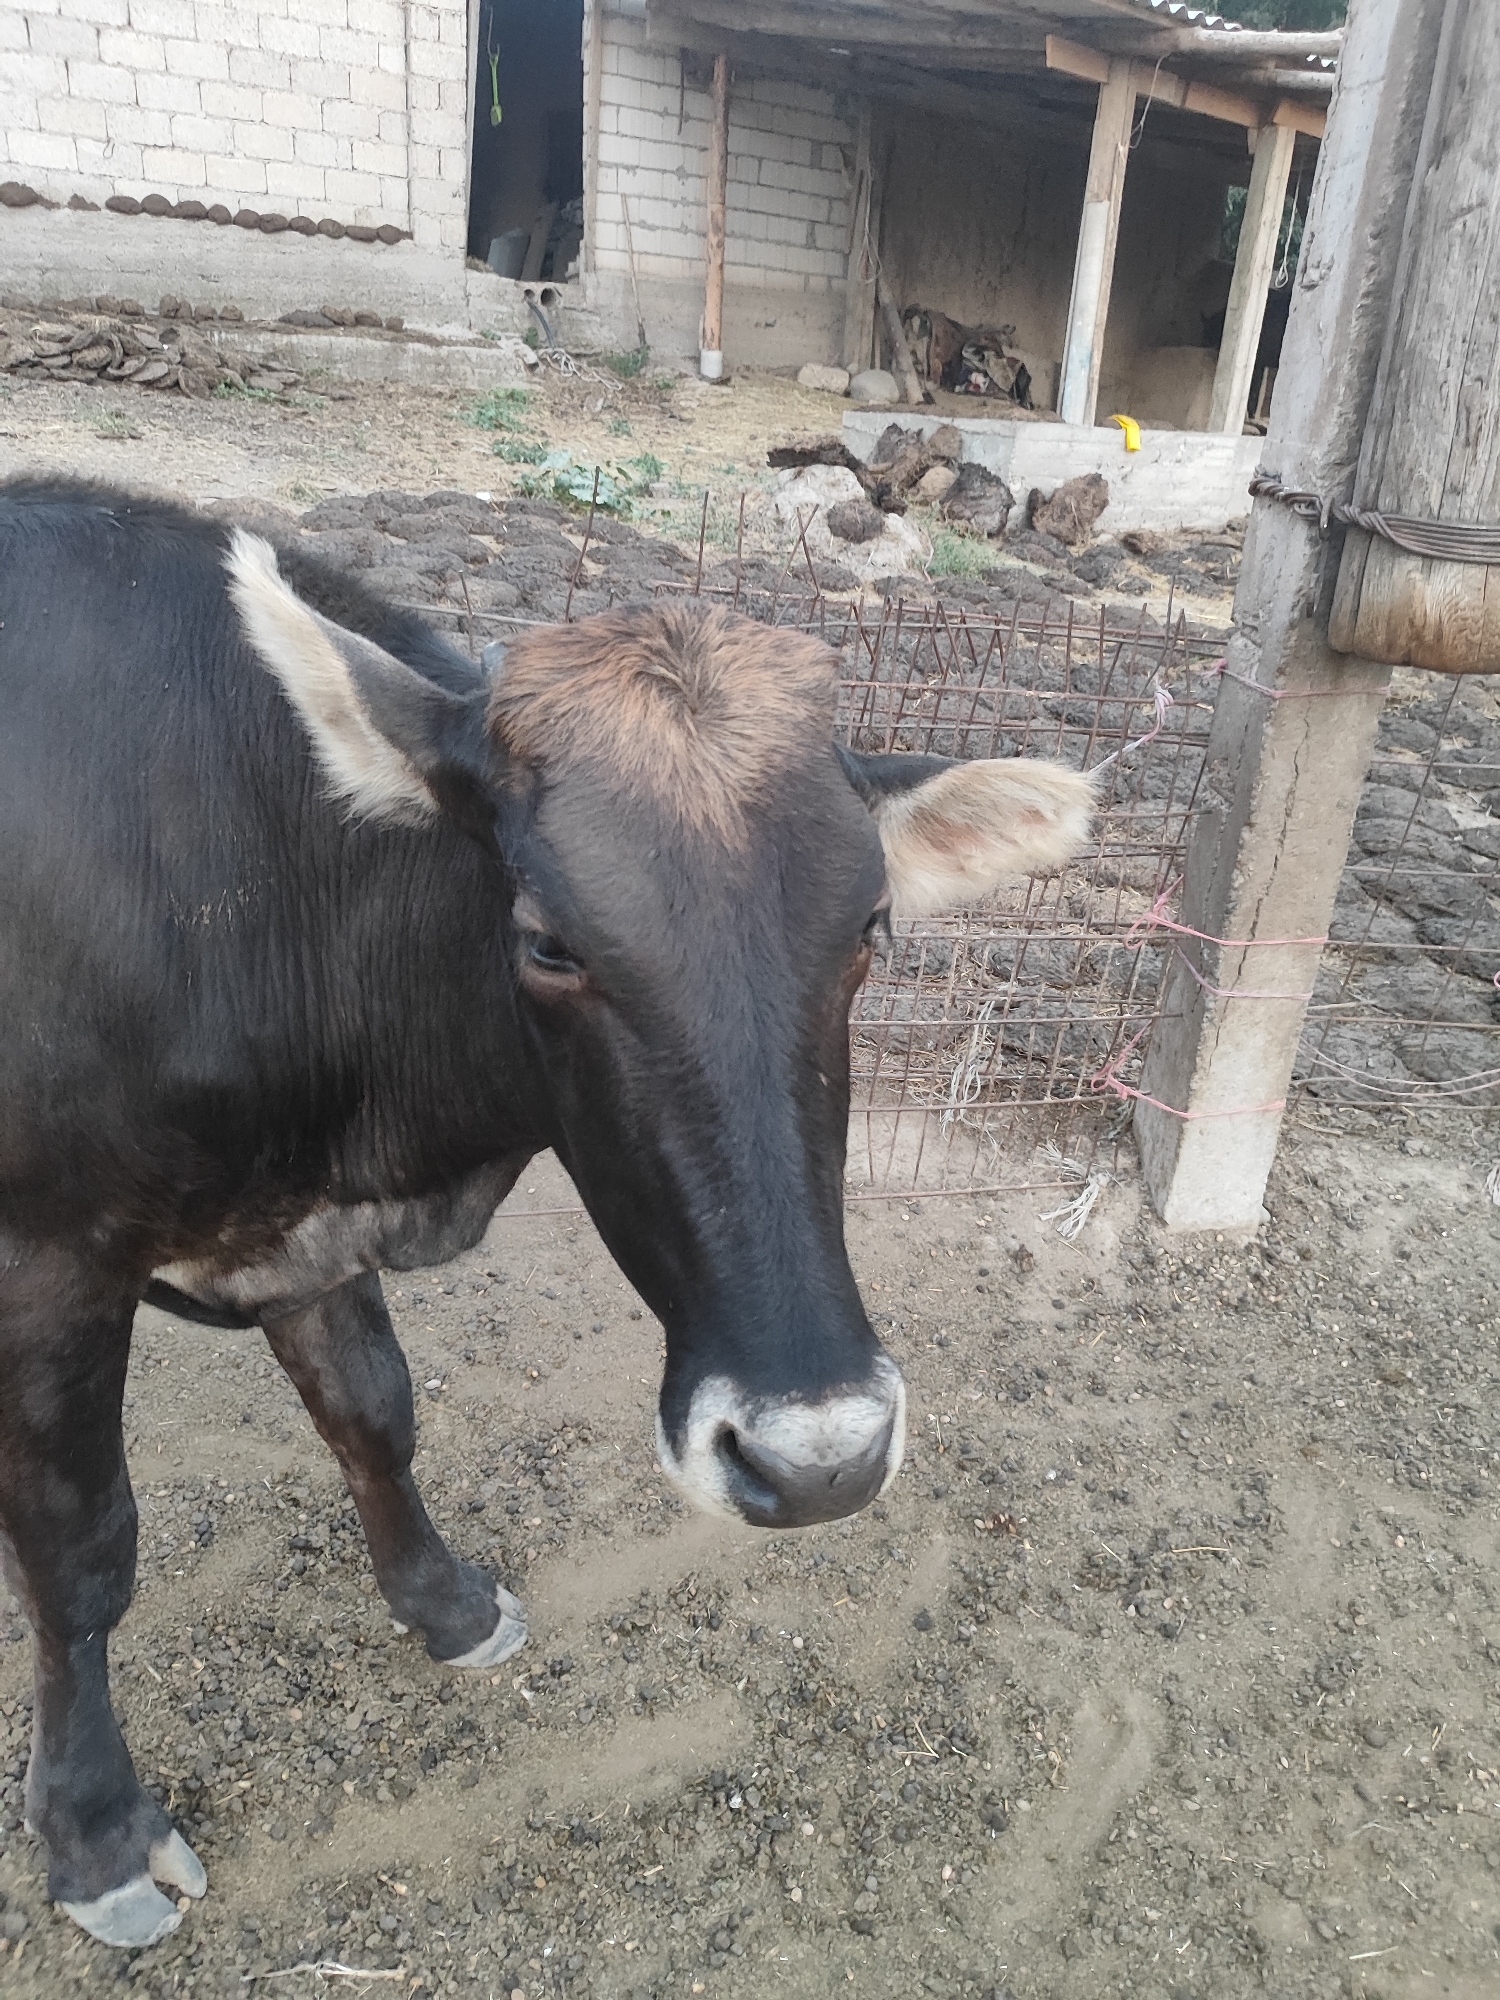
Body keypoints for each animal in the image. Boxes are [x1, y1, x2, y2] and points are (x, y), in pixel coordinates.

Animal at [0, 477, 1094, 1949]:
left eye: (869, 925)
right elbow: (81, 1548)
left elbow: (373, 1410)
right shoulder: (49, 1263)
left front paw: (446, 1603)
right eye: (550, 941)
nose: (818, 1456)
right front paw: (96, 1830)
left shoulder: (297, 1235)